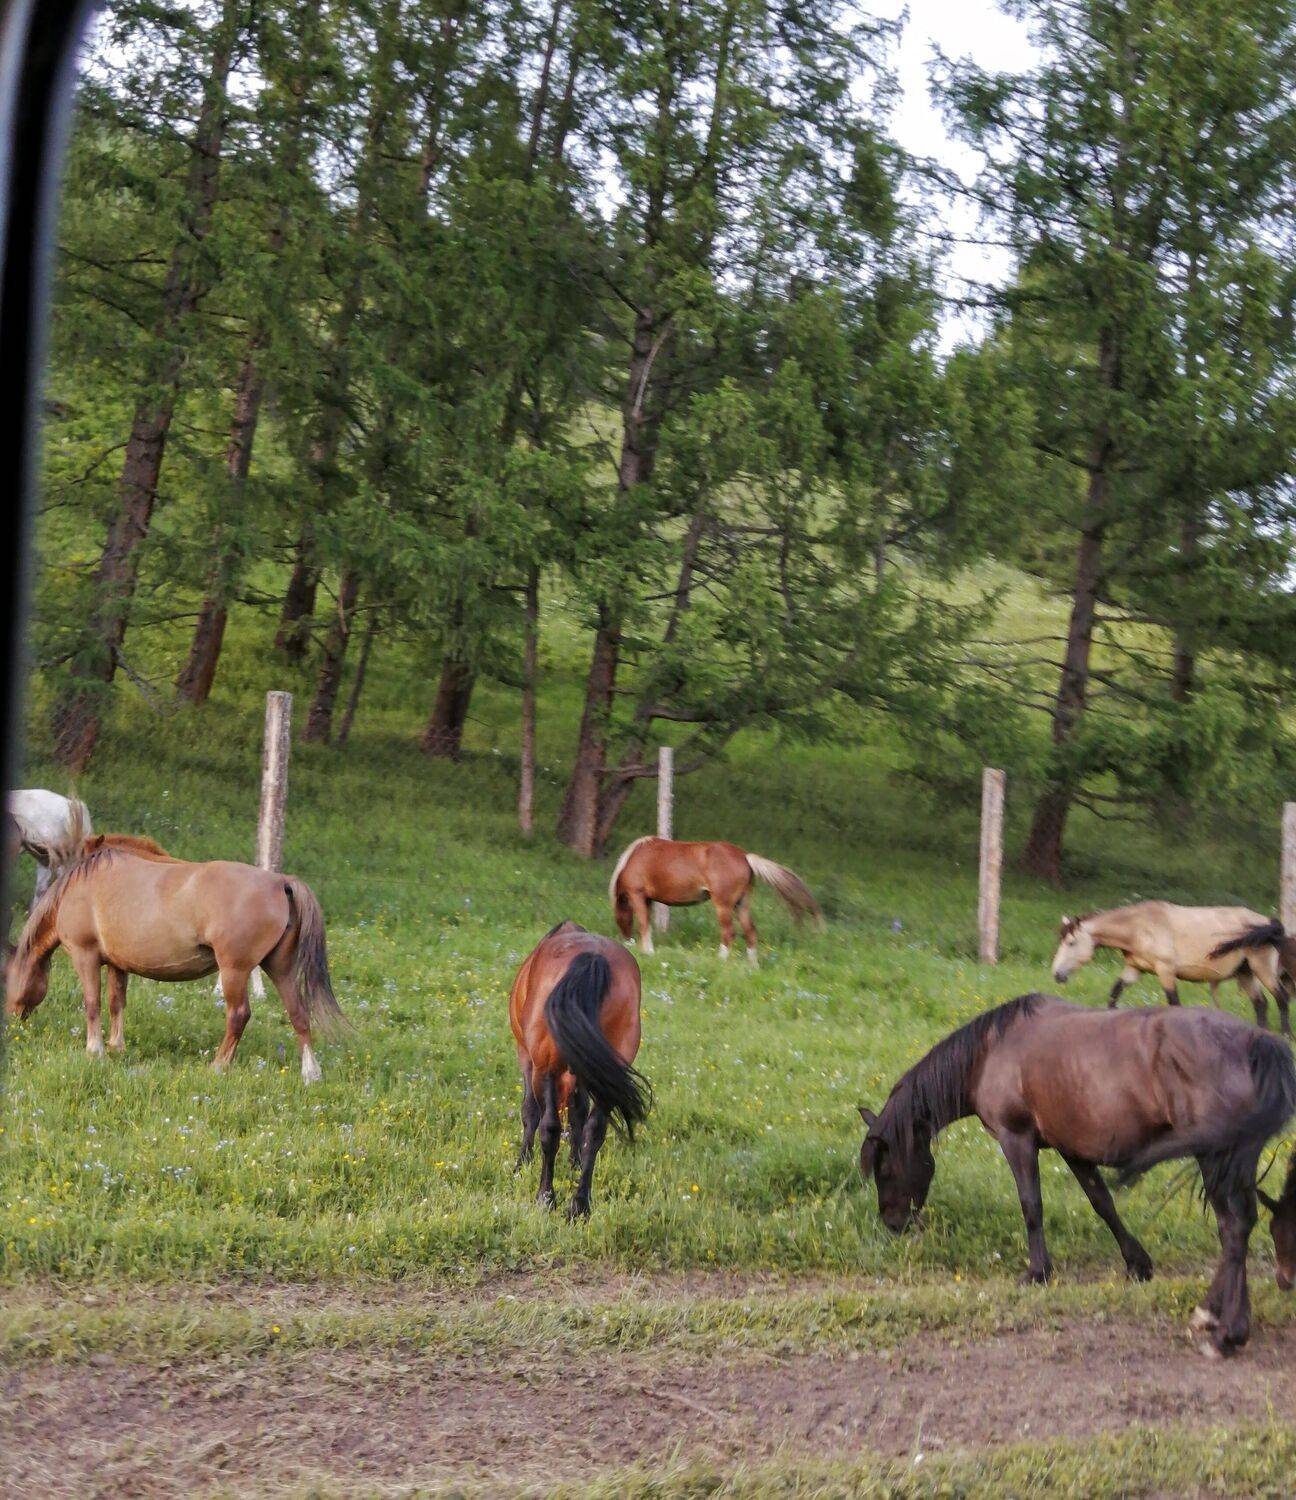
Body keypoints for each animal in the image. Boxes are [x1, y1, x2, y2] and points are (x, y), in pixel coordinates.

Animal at [5, 843, 347, 1082]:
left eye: (5, 978)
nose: (11, 1016)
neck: (79, 888)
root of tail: (279, 882)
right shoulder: (117, 964)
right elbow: (116, 1003)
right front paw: (116, 1046)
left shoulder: (84, 955)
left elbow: (92, 1003)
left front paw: (95, 1051)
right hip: (280, 968)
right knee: (298, 1014)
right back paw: (311, 1073)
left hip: (234, 971)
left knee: (238, 1015)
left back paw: (218, 1066)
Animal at [509, 920, 650, 1219]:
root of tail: (593, 958)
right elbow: (579, 1114)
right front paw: (574, 1161)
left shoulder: (527, 1058)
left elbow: (531, 1113)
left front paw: (522, 1163)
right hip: (608, 1072)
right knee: (595, 1132)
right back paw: (580, 1205)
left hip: (545, 1068)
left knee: (549, 1128)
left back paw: (545, 1197)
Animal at [608, 836, 823, 963]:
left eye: (619, 918)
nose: (627, 941)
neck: (634, 858)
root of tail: (745, 856)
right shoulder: (649, 900)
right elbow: (648, 924)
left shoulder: (638, 895)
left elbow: (644, 924)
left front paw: (647, 952)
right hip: (741, 904)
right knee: (750, 932)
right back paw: (751, 966)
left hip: (724, 906)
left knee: (728, 933)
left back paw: (721, 960)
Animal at [858, 994, 1296, 1357]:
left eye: (885, 1168)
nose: (893, 1224)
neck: (991, 1051)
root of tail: (1258, 1043)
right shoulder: (1071, 1148)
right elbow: (1103, 1203)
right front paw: (1137, 1264)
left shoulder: (1016, 1139)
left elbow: (1031, 1206)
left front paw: (1038, 1272)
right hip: (1236, 1160)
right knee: (1239, 1226)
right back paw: (1213, 1314)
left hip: (1216, 1156)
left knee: (1233, 1228)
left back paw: (1226, 1332)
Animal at [1051, 902, 1291, 1035]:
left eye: (1071, 943)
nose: (1056, 974)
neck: (1139, 927)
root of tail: (1268, 923)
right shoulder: (1134, 970)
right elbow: (1114, 995)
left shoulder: (1165, 970)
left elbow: (1174, 1003)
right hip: (1245, 973)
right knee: (1261, 1003)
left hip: (1262, 970)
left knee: (1281, 998)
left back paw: (1286, 1035)